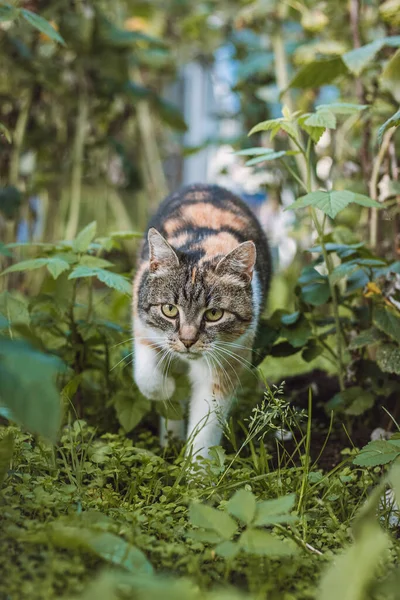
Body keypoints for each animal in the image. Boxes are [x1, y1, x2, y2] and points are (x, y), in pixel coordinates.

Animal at [133, 183, 270, 460]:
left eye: (214, 314)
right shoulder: (142, 327)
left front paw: (197, 469)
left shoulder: (228, 359)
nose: (188, 340)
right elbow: (148, 378)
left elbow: (207, 425)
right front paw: (167, 389)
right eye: (169, 309)